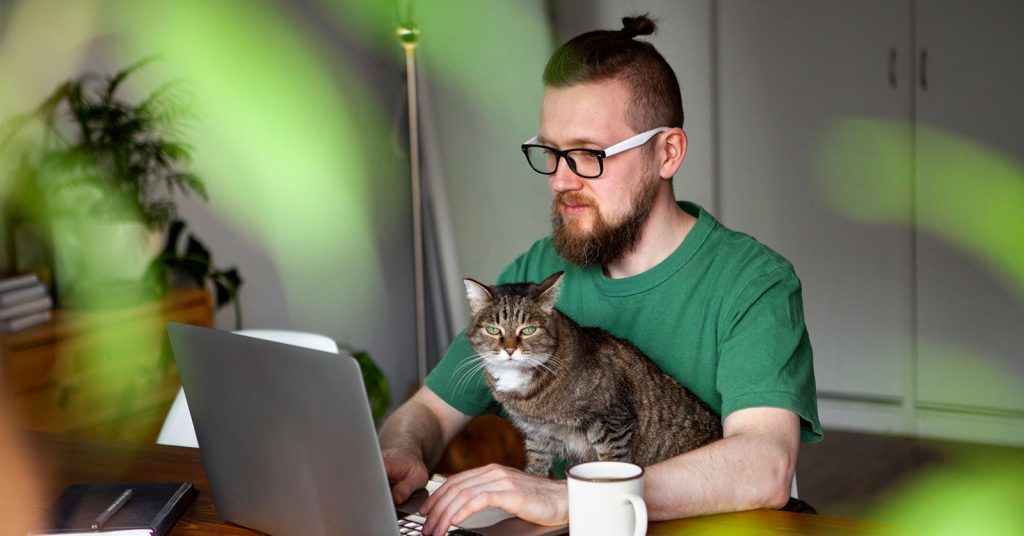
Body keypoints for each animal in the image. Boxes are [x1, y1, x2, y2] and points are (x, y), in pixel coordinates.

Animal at [462, 272, 720, 473]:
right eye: (493, 330)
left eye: (528, 330)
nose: (509, 350)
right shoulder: (536, 433)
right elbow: (536, 462)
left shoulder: (612, 423)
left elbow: (612, 462)